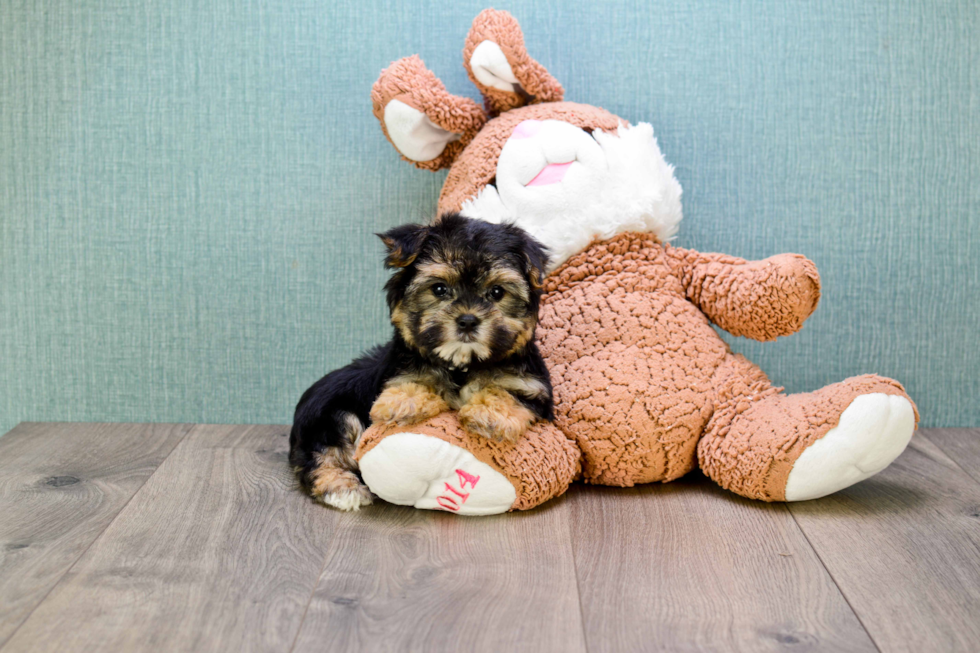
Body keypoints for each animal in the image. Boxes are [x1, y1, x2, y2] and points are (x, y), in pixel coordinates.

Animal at [290, 213, 552, 510]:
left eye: (497, 292)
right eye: (439, 289)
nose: (467, 320)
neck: (462, 363)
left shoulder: (530, 386)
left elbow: (505, 391)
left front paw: (488, 414)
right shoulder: (401, 371)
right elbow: (415, 380)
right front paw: (403, 402)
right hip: (329, 417)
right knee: (322, 455)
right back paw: (342, 489)